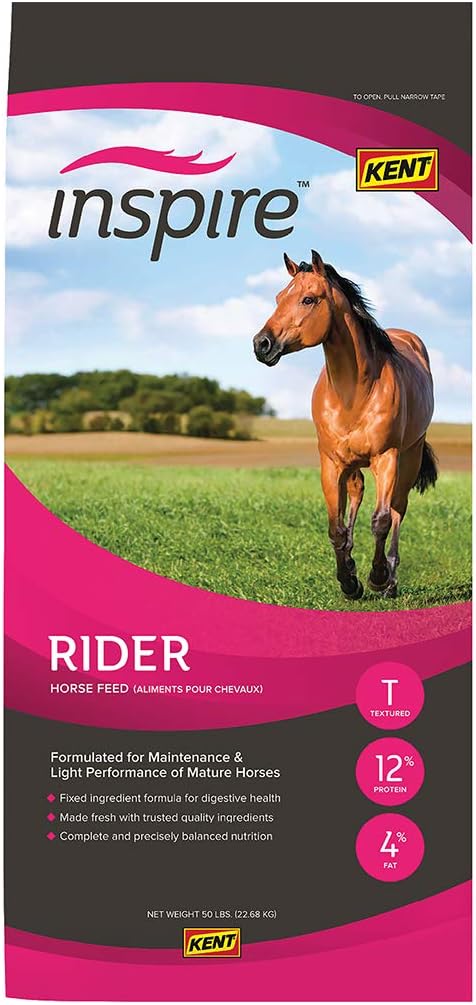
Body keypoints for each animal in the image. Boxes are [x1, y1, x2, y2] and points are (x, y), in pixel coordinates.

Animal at [253, 250, 437, 600]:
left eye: (308, 299)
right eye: (279, 297)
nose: (261, 344)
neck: (354, 393)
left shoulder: (386, 458)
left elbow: (380, 520)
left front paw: (376, 577)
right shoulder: (331, 461)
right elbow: (335, 527)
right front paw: (349, 581)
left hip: (408, 458)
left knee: (397, 509)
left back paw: (390, 581)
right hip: (352, 464)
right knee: (356, 495)